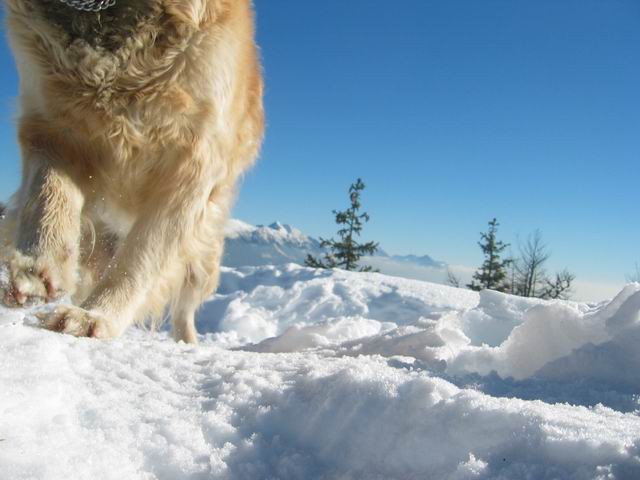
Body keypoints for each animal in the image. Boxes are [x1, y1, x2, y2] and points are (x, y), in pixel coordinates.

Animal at [0, 0, 264, 344]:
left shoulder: (192, 164)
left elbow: (142, 256)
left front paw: (96, 315)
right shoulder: (50, 127)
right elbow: (47, 195)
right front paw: (35, 271)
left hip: (204, 256)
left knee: (184, 307)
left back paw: (187, 342)